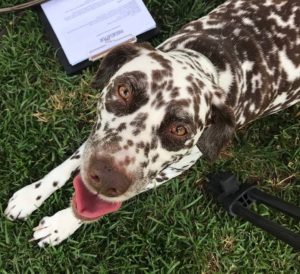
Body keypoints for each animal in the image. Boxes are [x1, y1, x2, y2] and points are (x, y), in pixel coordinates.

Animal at [4, 0, 300, 247]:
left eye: (180, 130)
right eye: (124, 91)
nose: (107, 178)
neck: (209, 60)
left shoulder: (169, 170)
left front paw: (62, 223)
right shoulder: (97, 137)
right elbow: (67, 165)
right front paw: (32, 195)